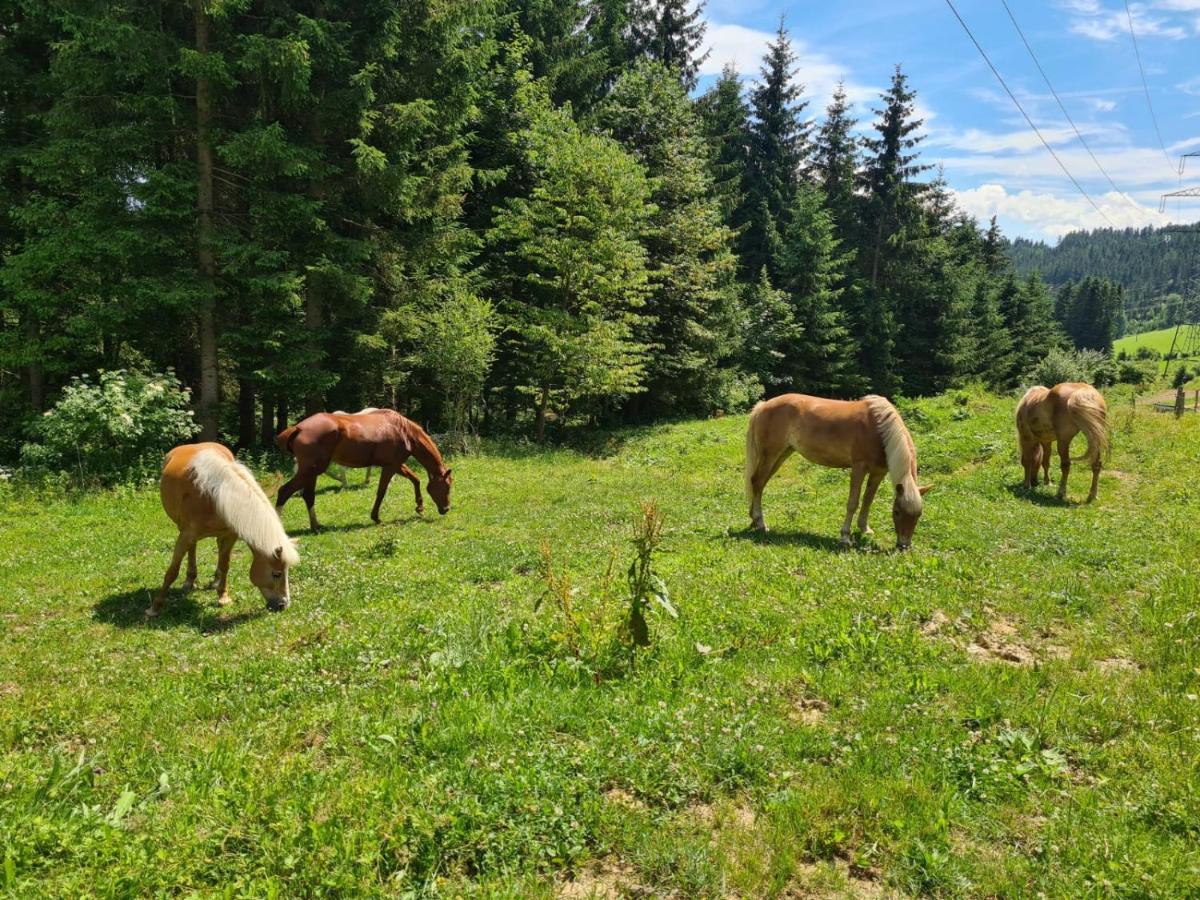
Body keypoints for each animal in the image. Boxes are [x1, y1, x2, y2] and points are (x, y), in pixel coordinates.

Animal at [150, 444, 300, 619]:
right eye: (276, 574)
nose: (283, 605)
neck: (215, 496)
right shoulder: (186, 535)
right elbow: (172, 571)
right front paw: (155, 607)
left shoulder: (230, 536)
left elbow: (225, 564)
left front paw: (223, 596)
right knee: (192, 548)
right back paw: (189, 581)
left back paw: (214, 581)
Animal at [276, 408, 453, 528]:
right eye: (447, 487)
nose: (446, 509)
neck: (403, 430)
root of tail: (298, 428)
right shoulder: (391, 466)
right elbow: (381, 491)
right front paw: (376, 517)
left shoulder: (396, 464)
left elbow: (415, 479)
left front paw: (419, 506)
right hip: (310, 471)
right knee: (284, 491)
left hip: (311, 473)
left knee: (308, 496)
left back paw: (316, 525)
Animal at [744, 393, 931, 549]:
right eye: (897, 512)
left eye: (919, 515)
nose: (903, 546)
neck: (879, 430)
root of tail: (763, 405)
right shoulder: (859, 468)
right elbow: (853, 503)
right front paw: (845, 537)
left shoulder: (878, 472)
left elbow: (868, 500)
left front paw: (864, 528)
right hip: (771, 455)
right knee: (757, 482)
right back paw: (761, 523)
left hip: (781, 455)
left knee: (760, 484)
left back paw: (754, 520)